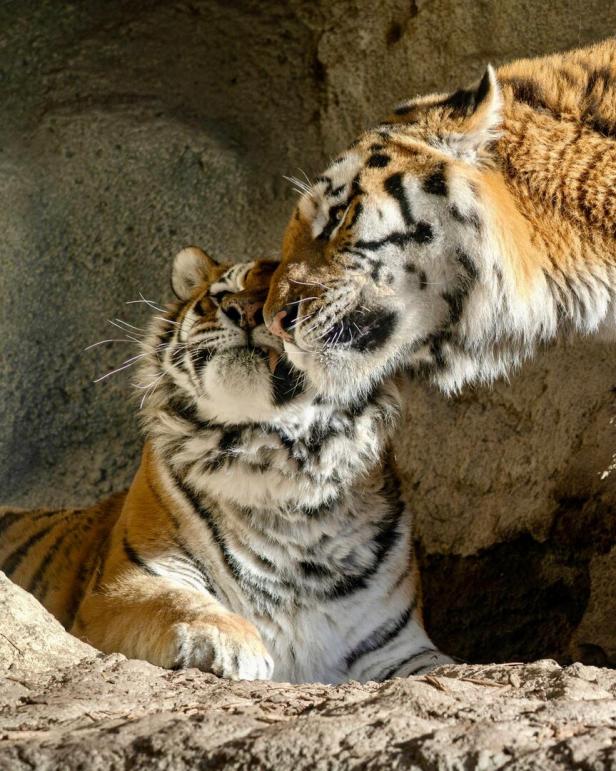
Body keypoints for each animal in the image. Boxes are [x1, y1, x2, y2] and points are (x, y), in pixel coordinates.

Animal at [0, 247, 451, 683]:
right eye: (221, 295)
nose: (245, 310)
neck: (275, 467)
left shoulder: (396, 642)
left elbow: (443, 668)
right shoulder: (127, 584)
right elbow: (178, 602)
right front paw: (226, 641)